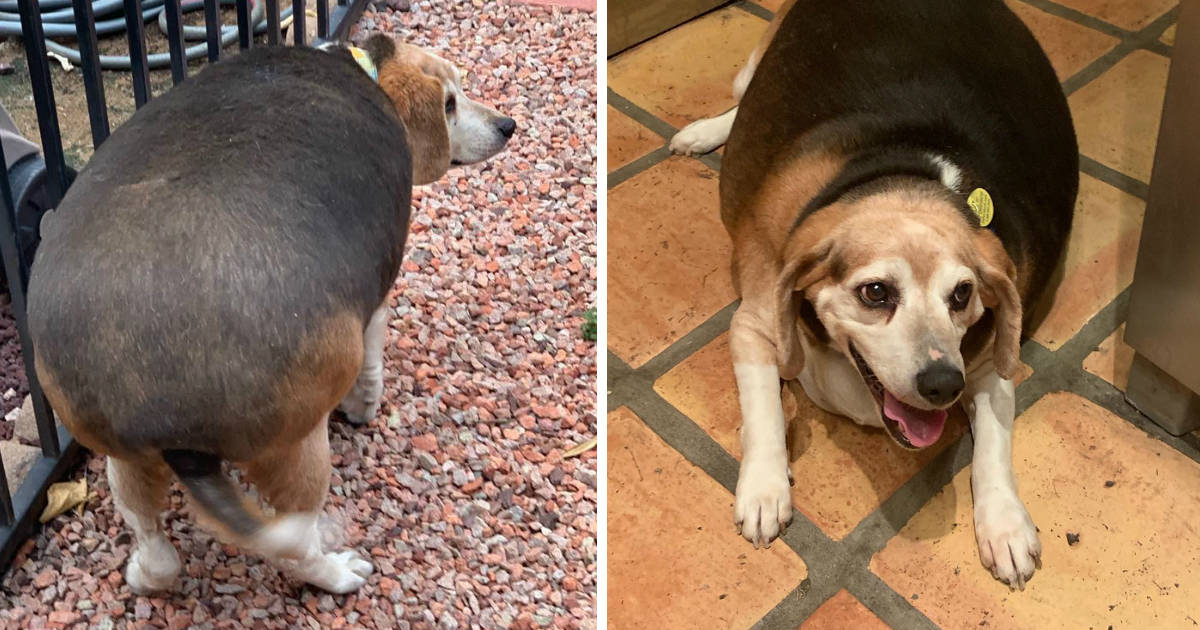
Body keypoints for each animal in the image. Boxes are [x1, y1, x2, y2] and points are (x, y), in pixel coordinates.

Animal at [28, 35, 513, 595]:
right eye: (450, 103)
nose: (507, 125)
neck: (359, 67)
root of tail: (159, 403)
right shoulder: (375, 301)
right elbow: (371, 363)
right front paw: (364, 407)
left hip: (120, 452)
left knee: (154, 545)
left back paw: (144, 573)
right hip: (295, 449)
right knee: (295, 546)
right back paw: (337, 573)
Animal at [672, 1, 1075, 590]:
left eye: (962, 295)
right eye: (877, 292)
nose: (942, 384)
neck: (907, 172)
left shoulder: (986, 369)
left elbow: (994, 451)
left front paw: (1004, 524)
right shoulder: (752, 325)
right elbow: (764, 409)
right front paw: (766, 488)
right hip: (757, 67)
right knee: (741, 95)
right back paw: (702, 132)